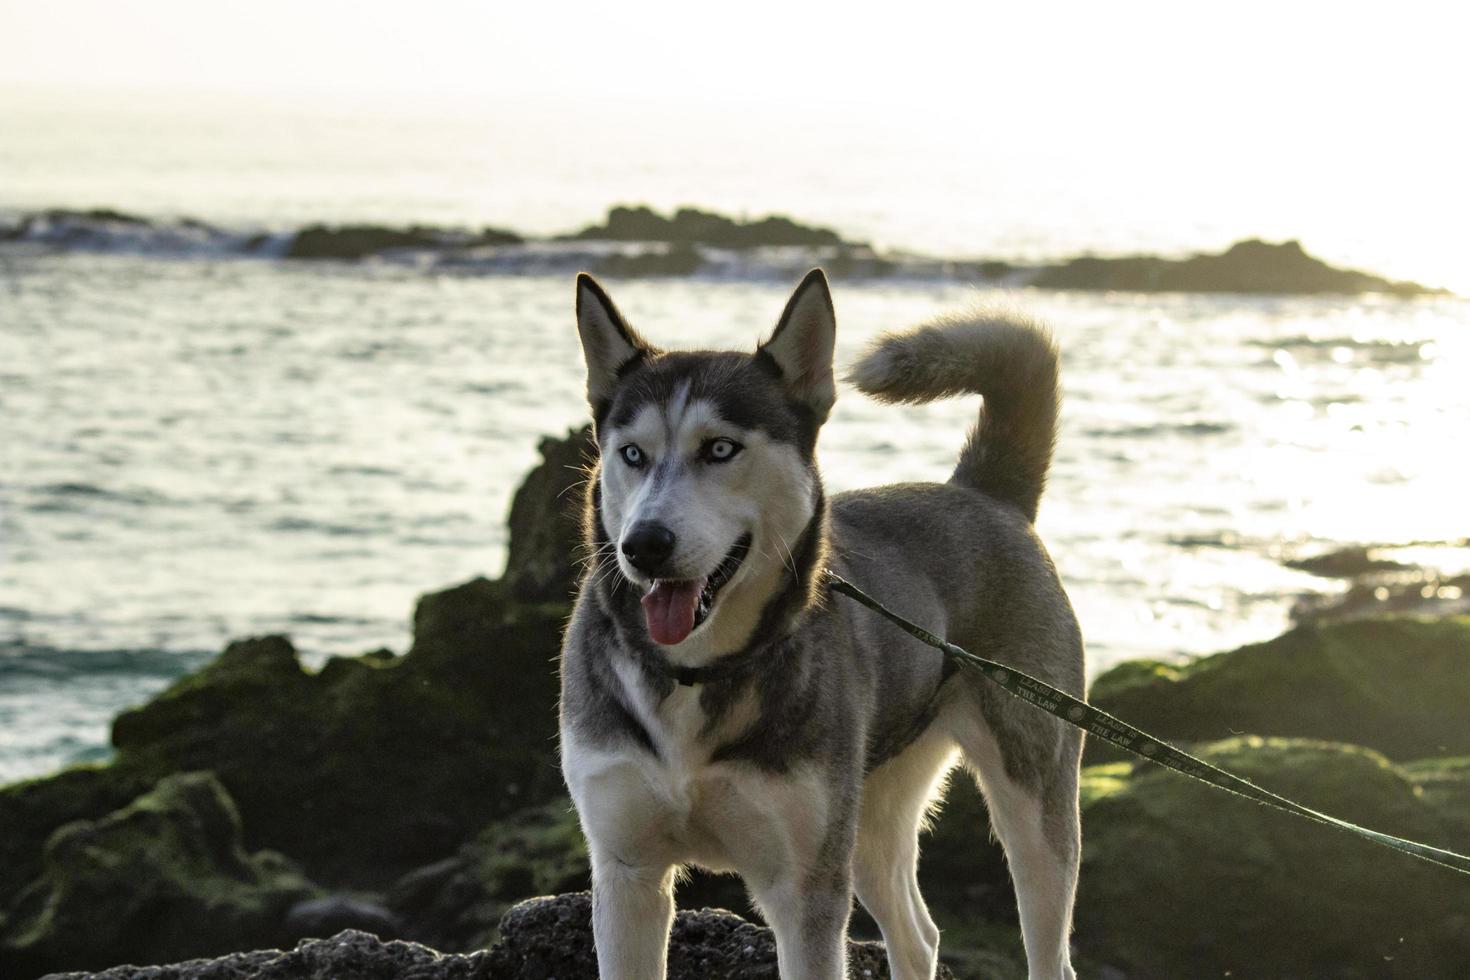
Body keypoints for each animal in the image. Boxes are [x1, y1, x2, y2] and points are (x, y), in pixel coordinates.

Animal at [555, 270, 1087, 980]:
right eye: (632, 454)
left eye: (720, 448)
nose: (643, 544)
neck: (697, 673)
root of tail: (984, 494)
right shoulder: (626, 876)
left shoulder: (805, 893)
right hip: (866, 812)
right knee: (918, 936)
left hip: (1030, 807)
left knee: (1048, 944)